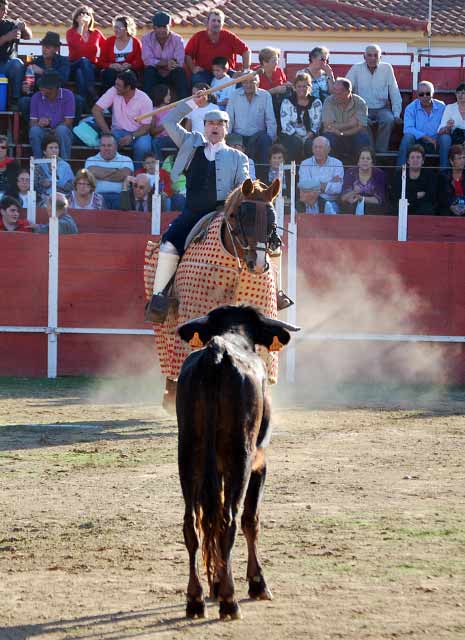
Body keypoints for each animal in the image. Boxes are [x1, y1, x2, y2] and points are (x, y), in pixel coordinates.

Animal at [144, 178, 282, 412]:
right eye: (239, 217)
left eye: (272, 222)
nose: (258, 264)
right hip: (168, 316)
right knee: (171, 346)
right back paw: (170, 396)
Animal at [174, 304, 298, 620]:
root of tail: (217, 353)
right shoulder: (259, 463)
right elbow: (251, 519)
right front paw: (257, 583)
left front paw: (216, 583)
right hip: (240, 458)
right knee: (228, 520)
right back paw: (230, 601)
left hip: (188, 456)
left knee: (193, 523)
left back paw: (196, 599)